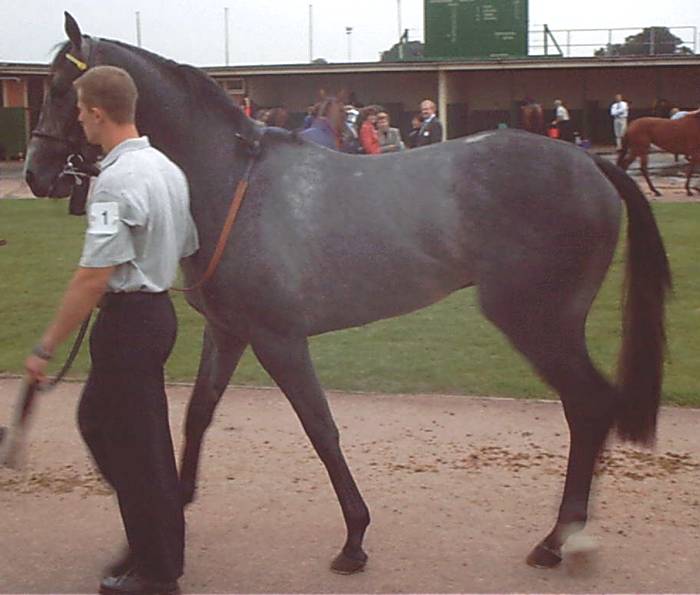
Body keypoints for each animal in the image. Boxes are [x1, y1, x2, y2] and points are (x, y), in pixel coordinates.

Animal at [24, 12, 670, 576]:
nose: (35, 173)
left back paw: (557, 540)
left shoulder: (280, 339)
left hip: (537, 322)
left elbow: (321, 429)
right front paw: (167, 517)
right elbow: (198, 414)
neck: (233, 183)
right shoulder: (229, 331)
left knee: (589, 406)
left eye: (60, 88)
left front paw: (355, 539)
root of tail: (589, 164)